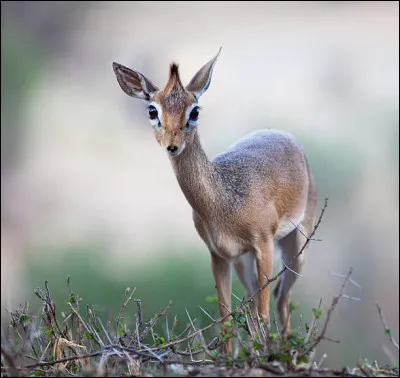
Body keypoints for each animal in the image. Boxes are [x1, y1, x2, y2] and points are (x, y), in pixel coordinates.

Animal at [111, 48, 316, 354]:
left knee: (280, 298)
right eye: (152, 110)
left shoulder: (264, 245)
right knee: (260, 302)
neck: (224, 201)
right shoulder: (218, 255)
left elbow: (263, 314)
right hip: (243, 261)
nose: (172, 145)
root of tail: (286, 136)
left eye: (194, 110)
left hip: (296, 244)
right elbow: (226, 320)